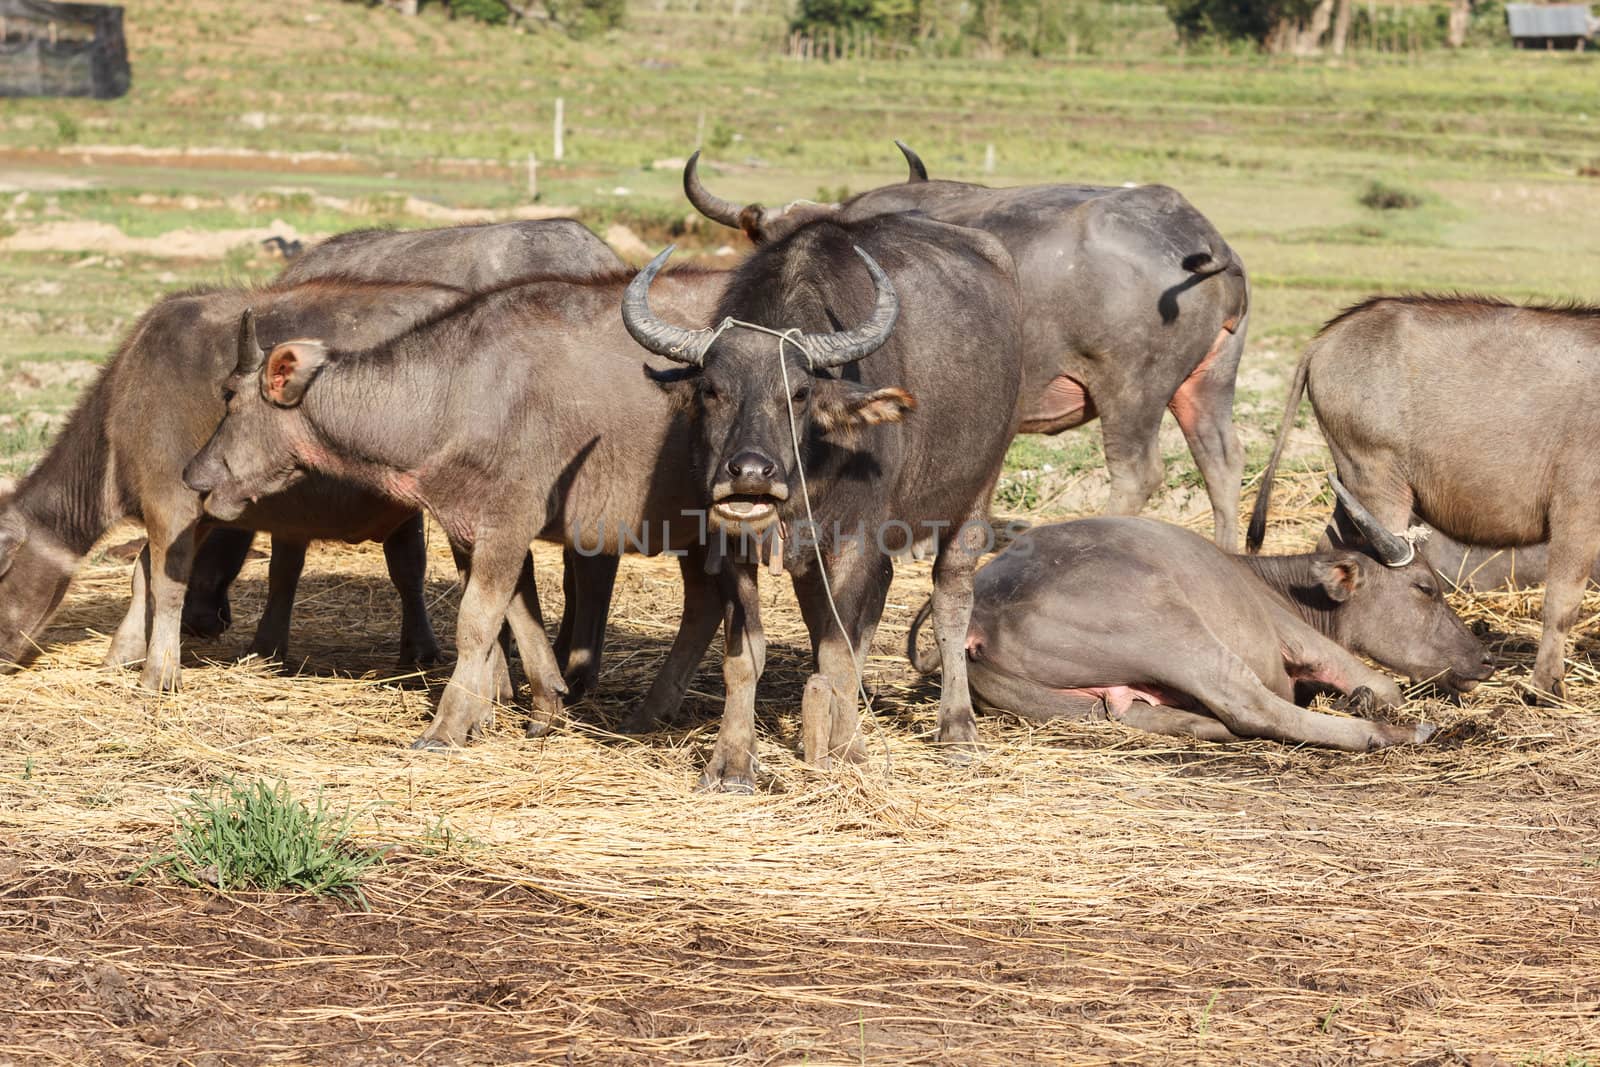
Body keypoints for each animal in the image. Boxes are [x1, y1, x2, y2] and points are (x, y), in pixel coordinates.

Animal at [184, 267, 732, 751]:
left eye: (228, 396)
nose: (192, 473)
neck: (452, 400)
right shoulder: (473, 526)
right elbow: (520, 618)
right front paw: (542, 708)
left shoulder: (508, 524)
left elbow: (476, 624)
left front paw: (447, 727)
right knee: (704, 603)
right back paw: (652, 710)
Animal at [617, 212, 1017, 790]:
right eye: (713, 389)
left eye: (799, 393)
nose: (750, 473)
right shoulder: (732, 545)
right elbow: (746, 656)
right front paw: (733, 761)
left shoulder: (855, 541)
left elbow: (837, 652)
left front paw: (849, 751)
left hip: (977, 494)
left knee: (950, 600)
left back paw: (957, 730)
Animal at [921, 505, 1491, 748]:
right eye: (1425, 587)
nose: (1484, 657)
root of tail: (983, 612)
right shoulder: (1298, 637)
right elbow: (1381, 683)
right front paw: (1373, 703)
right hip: (1173, 630)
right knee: (1251, 706)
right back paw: (1398, 732)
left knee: (1142, 715)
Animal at [1248, 295, 1600, 703]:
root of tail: (1326, 339)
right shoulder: (1577, 510)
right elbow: (1562, 603)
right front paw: (1546, 687)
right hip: (1377, 484)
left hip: (1351, 494)